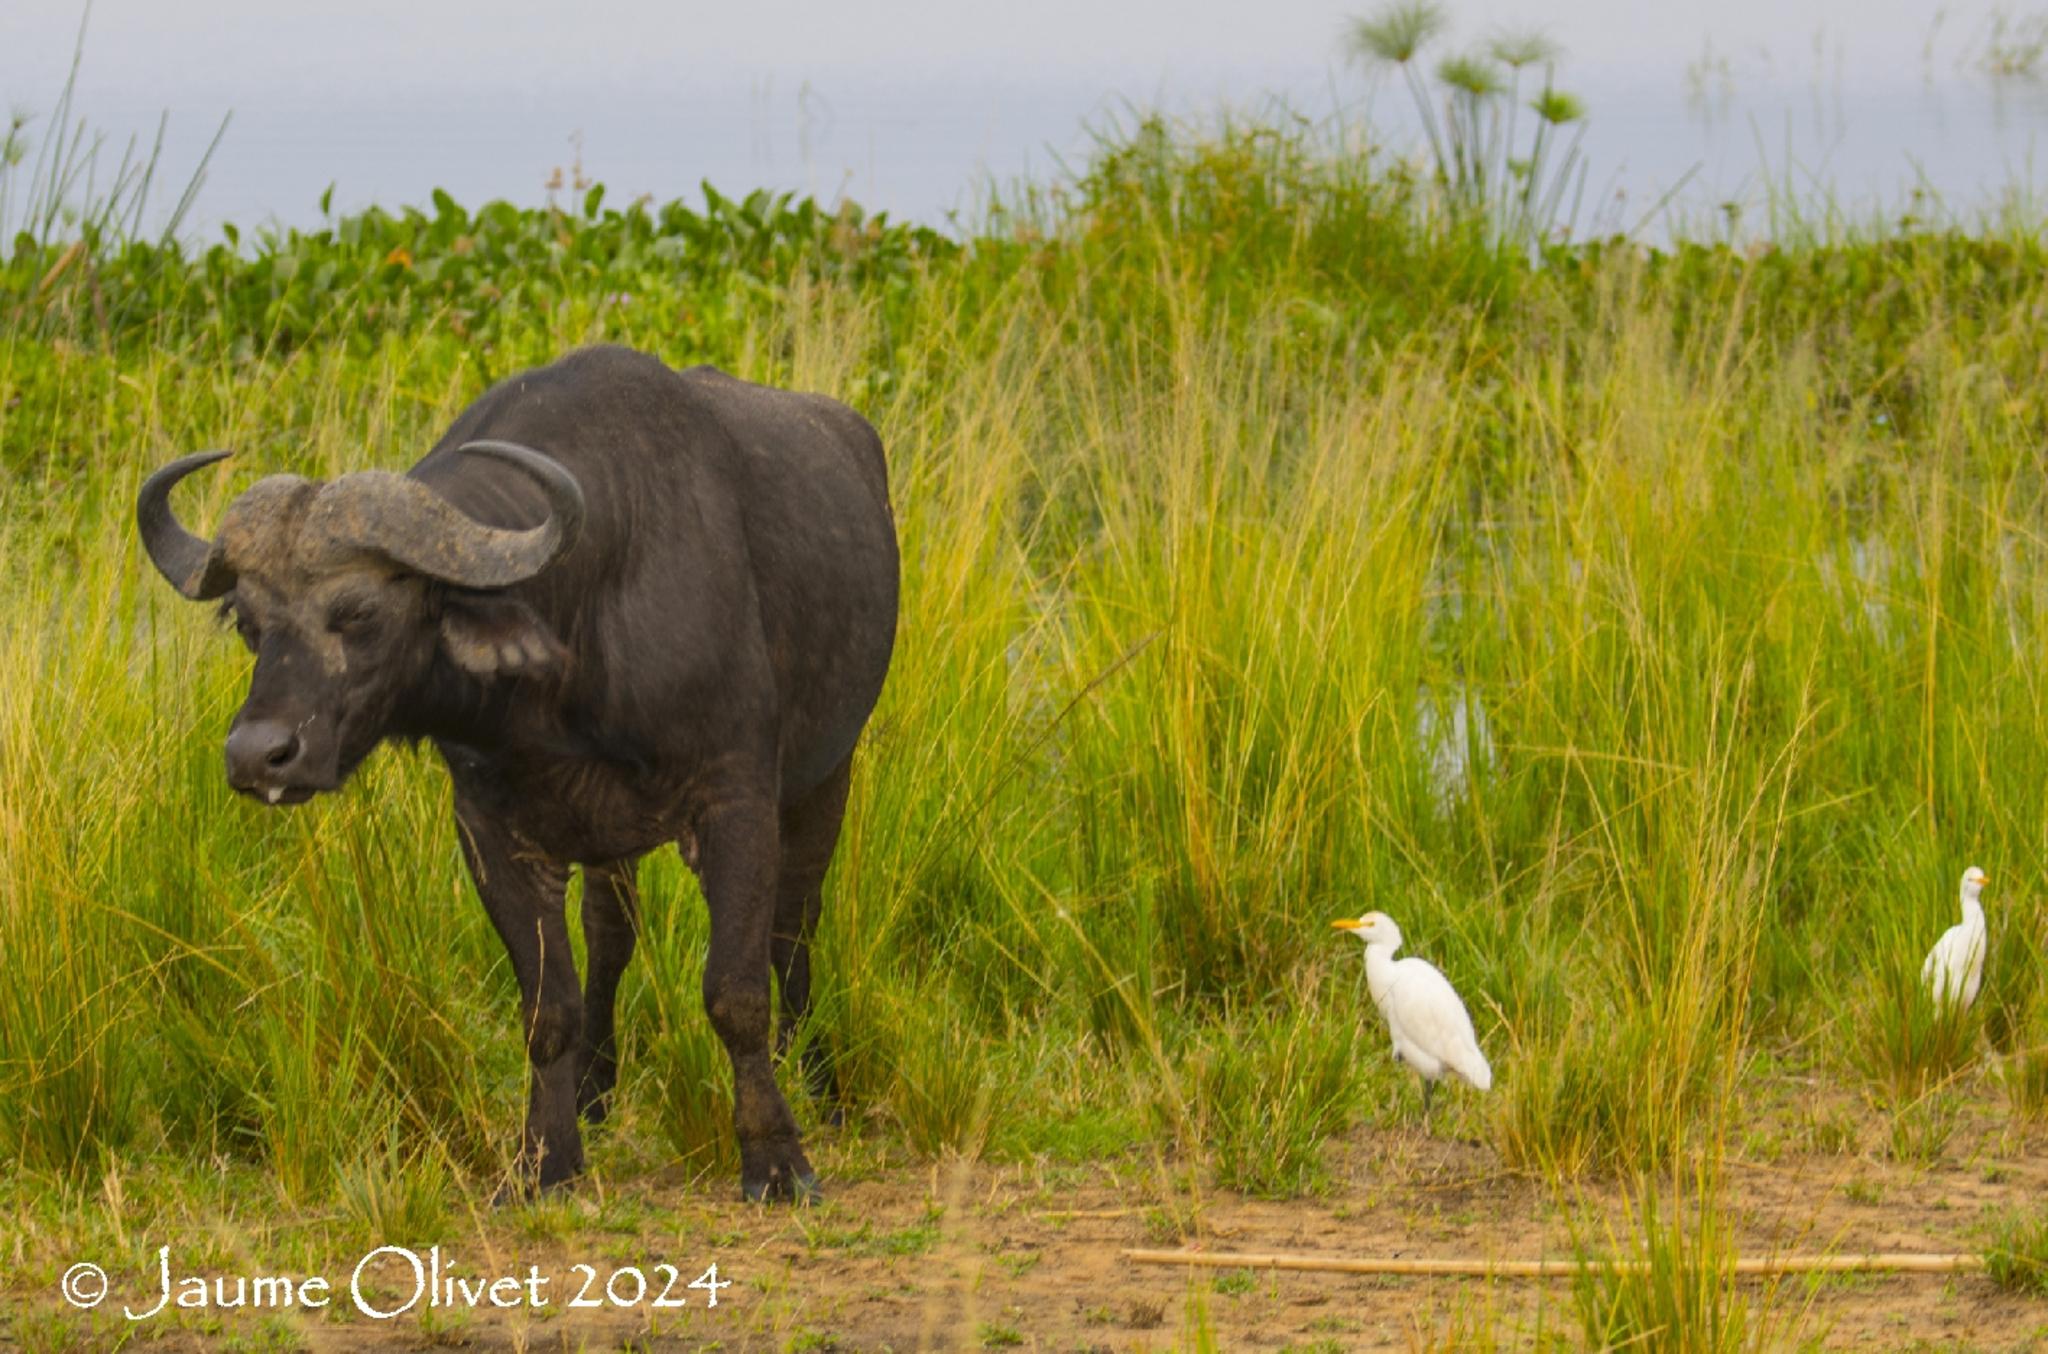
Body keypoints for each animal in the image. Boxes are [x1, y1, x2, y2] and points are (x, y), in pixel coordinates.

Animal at [132, 344, 892, 1196]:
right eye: (249, 623)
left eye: (359, 613)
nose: (257, 754)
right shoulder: (493, 830)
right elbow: (546, 1008)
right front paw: (546, 1158)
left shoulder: (737, 800)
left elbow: (735, 990)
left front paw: (776, 1156)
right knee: (611, 935)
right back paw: (596, 1088)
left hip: (827, 776)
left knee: (794, 926)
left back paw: (816, 1079)